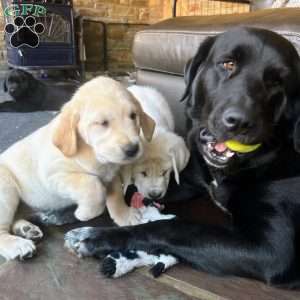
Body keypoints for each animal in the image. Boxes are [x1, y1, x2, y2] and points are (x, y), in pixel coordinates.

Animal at [0, 77, 155, 260]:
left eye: (133, 116)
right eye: (103, 123)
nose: (132, 149)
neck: (96, 157)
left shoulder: (112, 175)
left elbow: (116, 196)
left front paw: (124, 216)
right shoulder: (54, 175)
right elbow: (93, 186)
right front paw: (85, 213)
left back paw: (26, 229)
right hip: (6, 191)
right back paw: (17, 245)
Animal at [63, 27, 300, 288]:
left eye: (277, 82)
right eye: (228, 63)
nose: (240, 122)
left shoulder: (271, 250)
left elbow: (174, 227)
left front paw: (95, 236)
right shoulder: (187, 181)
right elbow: (132, 191)